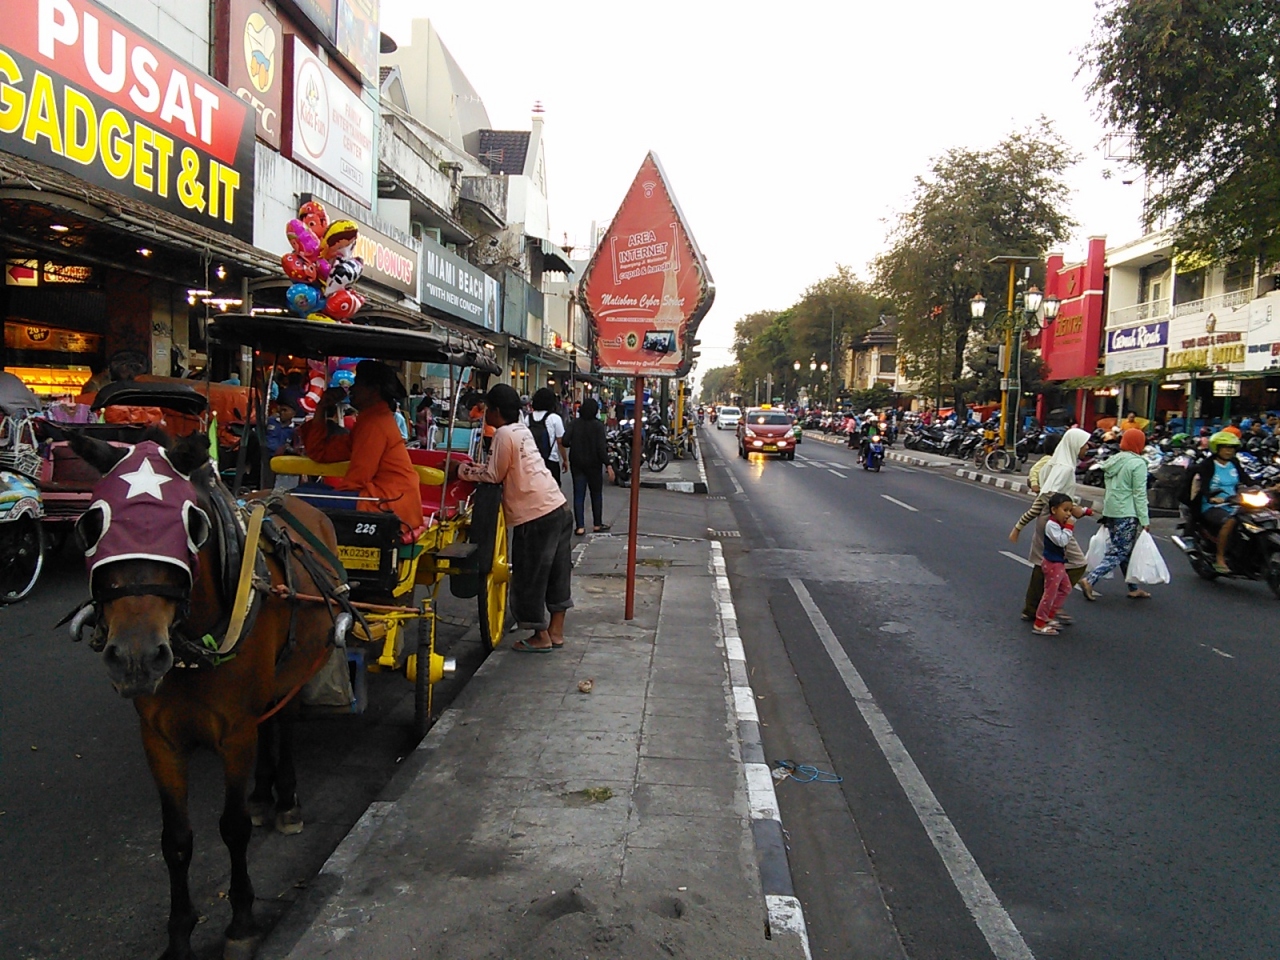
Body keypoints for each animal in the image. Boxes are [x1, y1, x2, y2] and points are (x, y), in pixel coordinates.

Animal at [68, 430, 347, 960]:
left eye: (191, 524)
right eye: (91, 524)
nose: (136, 657)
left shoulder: (234, 733)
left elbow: (231, 828)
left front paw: (240, 922)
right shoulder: (159, 739)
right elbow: (176, 840)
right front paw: (179, 936)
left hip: (294, 670)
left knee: (282, 725)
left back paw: (285, 799)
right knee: (268, 723)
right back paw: (263, 795)